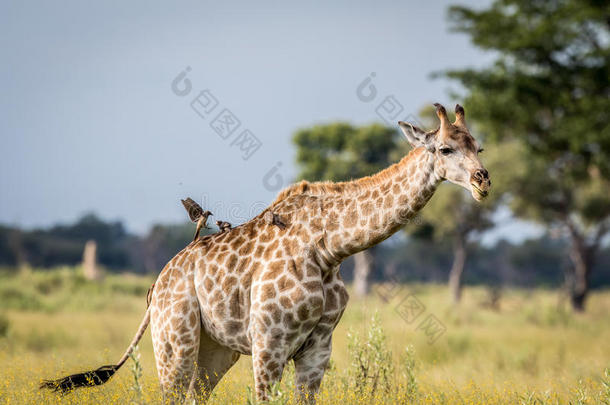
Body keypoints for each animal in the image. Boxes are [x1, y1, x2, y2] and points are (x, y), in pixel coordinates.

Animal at [41, 105, 490, 404]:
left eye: (479, 147)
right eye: (446, 149)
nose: (482, 181)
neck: (329, 248)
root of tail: (156, 286)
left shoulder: (318, 348)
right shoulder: (269, 343)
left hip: (214, 351)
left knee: (195, 395)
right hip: (174, 341)